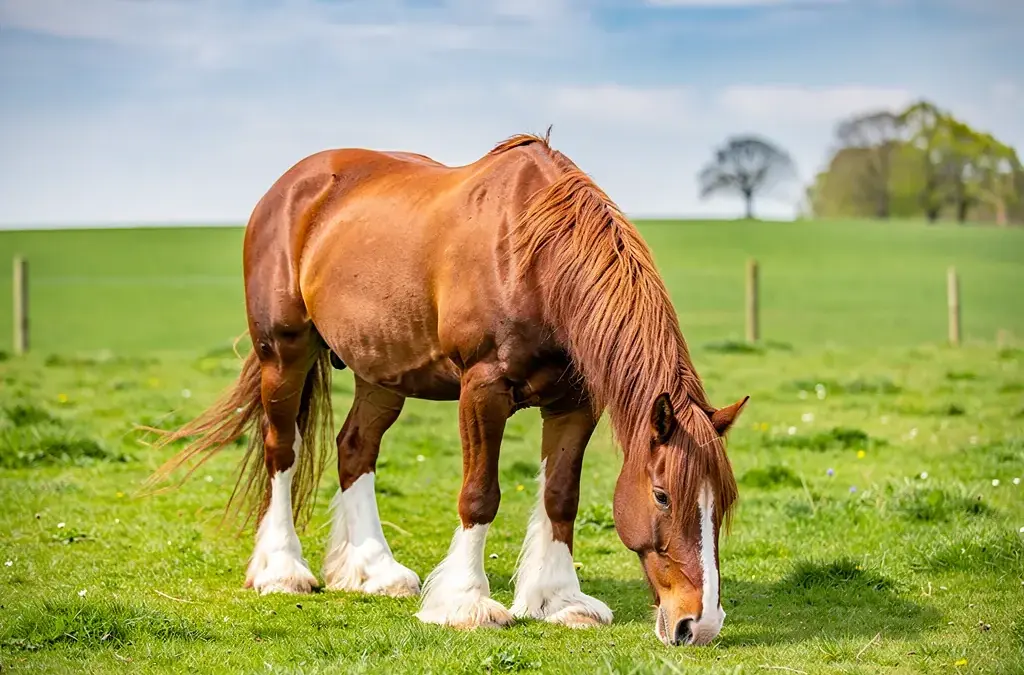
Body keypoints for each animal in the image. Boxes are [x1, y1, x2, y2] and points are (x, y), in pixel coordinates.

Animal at [146, 130, 747, 647]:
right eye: (663, 495)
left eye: (721, 504)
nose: (699, 623)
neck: (532, 255)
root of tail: (289, 187)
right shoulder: (483, 389)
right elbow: (480, 495)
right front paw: (466, 602)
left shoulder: (576, 402)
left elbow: (561, 497)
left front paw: (559, 601)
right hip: (284, 351)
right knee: (281, 451)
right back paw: (282, 570)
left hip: (380, 370)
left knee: (355, 449)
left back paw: (374, 571)